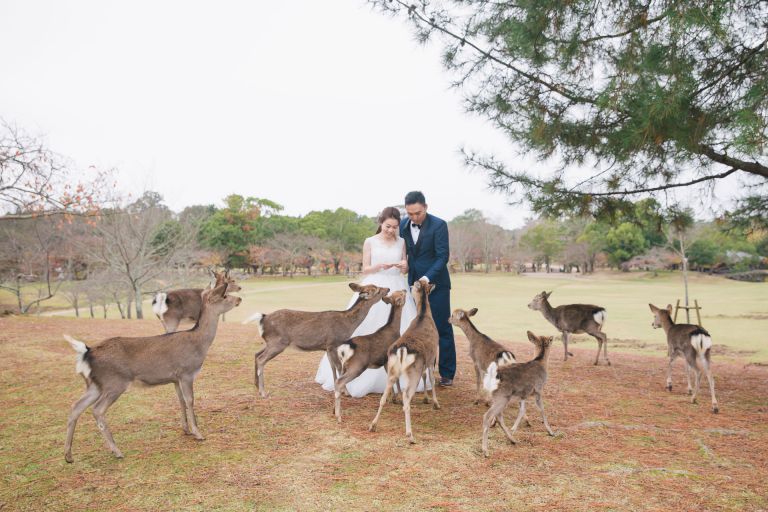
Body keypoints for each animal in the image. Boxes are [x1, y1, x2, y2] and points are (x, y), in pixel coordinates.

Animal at [63, 282, 242, 462]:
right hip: (114, 382)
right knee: (97, 410)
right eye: (224, 295)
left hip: (94, 384)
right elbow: (190, 400)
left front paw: (186, 430)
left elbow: (181, 401)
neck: (199, 345)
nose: (239, 299)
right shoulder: (186, 372)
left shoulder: (175, 378)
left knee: (75, 407)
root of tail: (87, 352)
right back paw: (117, 451)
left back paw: (68, 455)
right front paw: (198, 433)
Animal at [243, 283, 390, 398]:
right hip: (278, 342)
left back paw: (256, 386)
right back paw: (263, 392)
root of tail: (263, 318)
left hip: (270, 342)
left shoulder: (327, 347)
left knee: (256, 354)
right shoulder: (333, 343)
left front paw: (337, 390)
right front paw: (346, 392)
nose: (388, 289)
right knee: (261, 359)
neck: (348, 323)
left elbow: (332, 368)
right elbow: (339, 368)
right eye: (377, 289)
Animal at [329, 290, 407, 422]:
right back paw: (339, 417)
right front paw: (399, 399)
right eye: (401, 294)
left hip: (344, 366)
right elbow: (396, 379)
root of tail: (344, 349)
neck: (395, 330)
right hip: (357, 366)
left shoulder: (385, 362)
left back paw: (334, 411)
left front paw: (392, 398)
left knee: (337, 381)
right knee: (339, 382)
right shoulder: (393, 358)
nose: (406, 290)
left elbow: (389, 378)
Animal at [369, 280, 440, 443]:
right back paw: (410, 435)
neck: (424, 315)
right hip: (413, 372)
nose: (408, 288)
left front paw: (426, 399)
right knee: (406, 398)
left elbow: (426, 376)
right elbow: (432, 378)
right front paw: (435, 403)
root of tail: (402, 349)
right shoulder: (432, 356)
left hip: (392, 370)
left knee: (383, 397)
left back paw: (373, 425)